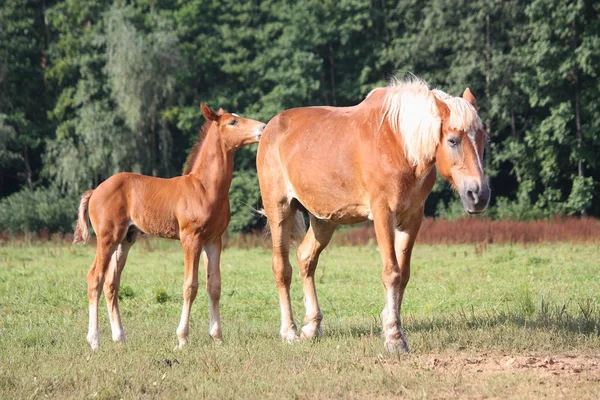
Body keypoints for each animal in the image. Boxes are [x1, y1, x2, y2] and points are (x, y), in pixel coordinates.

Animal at [72, 104, 264, 350]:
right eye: (232, 122)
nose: (263, 128)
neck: (204, 188)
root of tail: (95, 190)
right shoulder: (190, 238)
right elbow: (190, 286)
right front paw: (182, 339)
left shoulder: (214, 240)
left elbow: (214, 286)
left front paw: (217, 337)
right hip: (107, 237)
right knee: (94, 278)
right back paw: (94, 340)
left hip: (125, 239)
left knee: (111, 282)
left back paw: (120, 337)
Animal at [255, 76, 490, 352]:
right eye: (453, 140)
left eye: (484, 138)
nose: (479, 194)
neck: (398, 144)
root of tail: (271, 127)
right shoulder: (382, 213)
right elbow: (391, 272)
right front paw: (394, 338)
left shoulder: (412, 217)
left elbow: (403, 274)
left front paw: (391, 324)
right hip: (279, 209)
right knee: (282, 267)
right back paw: (289, 331)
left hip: (324, 220)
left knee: (305, 258)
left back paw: (311, 327)